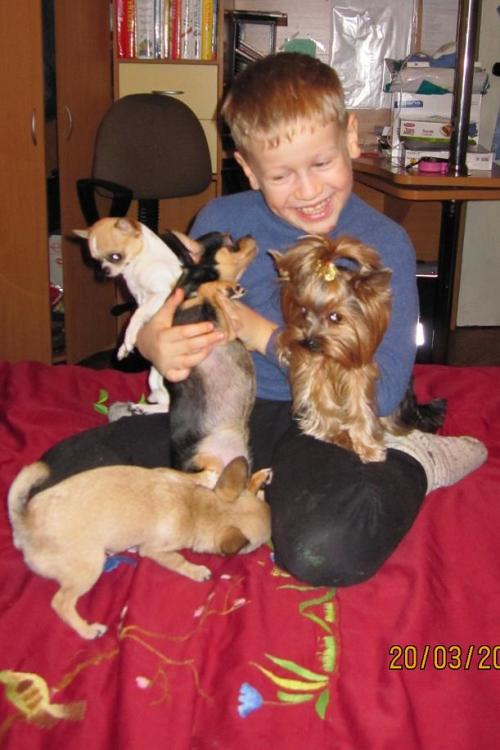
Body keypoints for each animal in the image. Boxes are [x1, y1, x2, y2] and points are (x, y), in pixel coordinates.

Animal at [8, 456, 271, 640]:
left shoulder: (170, 474)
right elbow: (177, 560)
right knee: (61, 602)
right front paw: (197, 571)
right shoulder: (155, 551)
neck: (196, 507)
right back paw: (88, 630)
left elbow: (195, 476)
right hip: (90, 567)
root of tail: (24, 522)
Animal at [270, 235, 446, 463]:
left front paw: (368, 447)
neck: (333, 358)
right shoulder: (312, 365)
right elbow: (320, 396)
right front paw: (335, 434)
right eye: (302, 309)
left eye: (335, 317)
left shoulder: (359, 368)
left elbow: (360, 403)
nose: (309, 342)